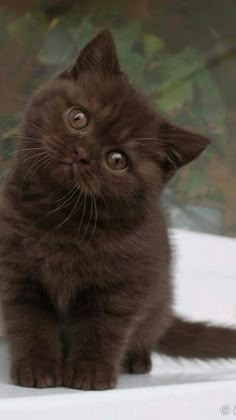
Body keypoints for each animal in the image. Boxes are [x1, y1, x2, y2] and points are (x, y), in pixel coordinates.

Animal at [0, 30, 236, 390]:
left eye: (116, 160)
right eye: (78, 118)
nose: (82, 153)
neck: (62, 217)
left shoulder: (124, 285)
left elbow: (103, 328)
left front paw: (90, 374)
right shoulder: (17, 273)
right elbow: (30, 322)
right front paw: (36, 369)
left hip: (157, 302)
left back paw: (137, 360)